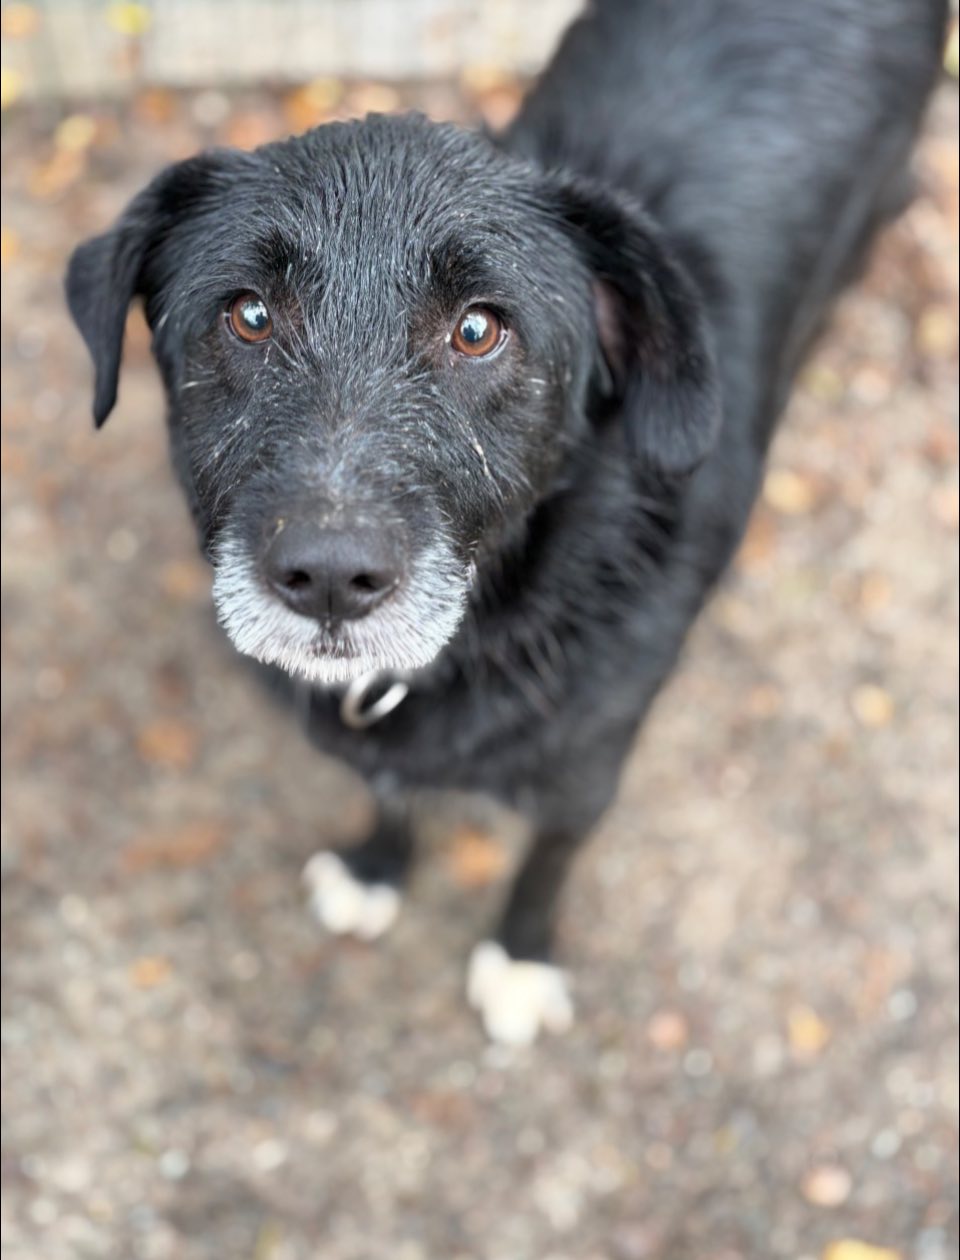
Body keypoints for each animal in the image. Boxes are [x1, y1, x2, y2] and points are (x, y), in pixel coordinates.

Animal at [66, 0, 947, 1044]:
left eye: (480, 329)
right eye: (247, 314)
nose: (330, 577)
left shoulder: (588, 771)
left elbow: (547, 862)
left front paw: (521, 958)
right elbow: (389, 792)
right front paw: (374, 867)